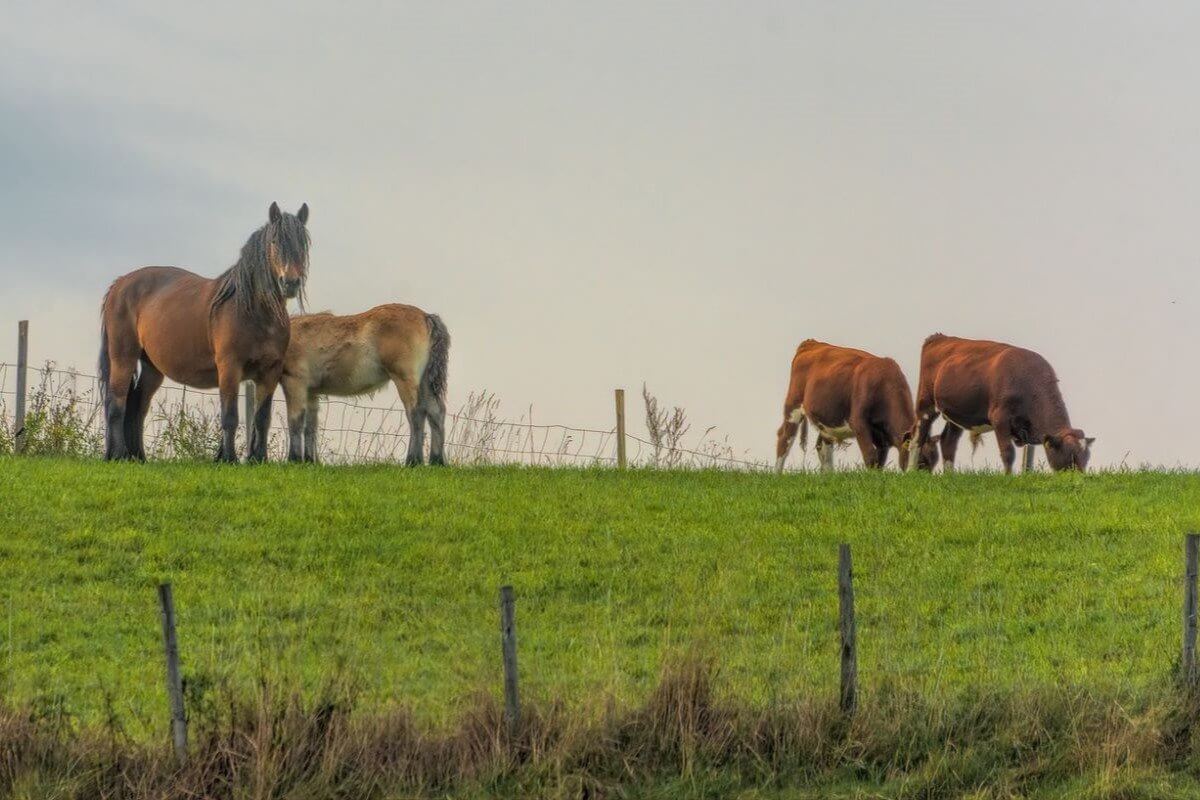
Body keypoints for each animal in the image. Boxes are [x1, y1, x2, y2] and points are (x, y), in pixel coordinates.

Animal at [99, 201, 309, 462]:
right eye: (274, 241)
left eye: (303, 243)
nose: (290, 282)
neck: (254, 312)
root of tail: (120, 284)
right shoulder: (229, 368)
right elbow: (230, 417)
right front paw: (228, 458)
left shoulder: (270, 372)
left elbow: (262, 419)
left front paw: (258, 459)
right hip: (123, 358)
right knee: (116, 404)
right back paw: (118, 454)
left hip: (152, 368)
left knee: (138, 406)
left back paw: (138, 457)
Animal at [279, 307, 451, 470]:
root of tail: (426, 316)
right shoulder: (311, 392)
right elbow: (311, 425)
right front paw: (310, 461)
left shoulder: (294, 383)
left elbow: (295, 421)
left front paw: (294, 459)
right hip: (425, 383)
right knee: (436, 412)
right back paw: (437, 461)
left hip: (405, 380)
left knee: (416, 414)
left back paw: (413, 461)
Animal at [777, 340, 916, 474]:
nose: (917, 475)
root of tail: (811, 343)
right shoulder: (858, 423)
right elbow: (870, 456)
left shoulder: (882, 438)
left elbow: (879, 461)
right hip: (793, 405)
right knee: (785, 438)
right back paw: (778, 473)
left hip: (826, 419)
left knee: (822, 447)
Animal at [912, 333, 1094, 472]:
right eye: (1069, 457)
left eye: (1086, 458)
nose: (1080, 478)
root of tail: (939, 337)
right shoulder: (1000, 419)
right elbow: (1008, 452)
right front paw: (1008, 476)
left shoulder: (1031, 427)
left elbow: (1028, 458)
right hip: (926, 404)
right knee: (917, 438)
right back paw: (912, 472)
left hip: (956, 413)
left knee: (948, 441)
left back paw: (949, 474)